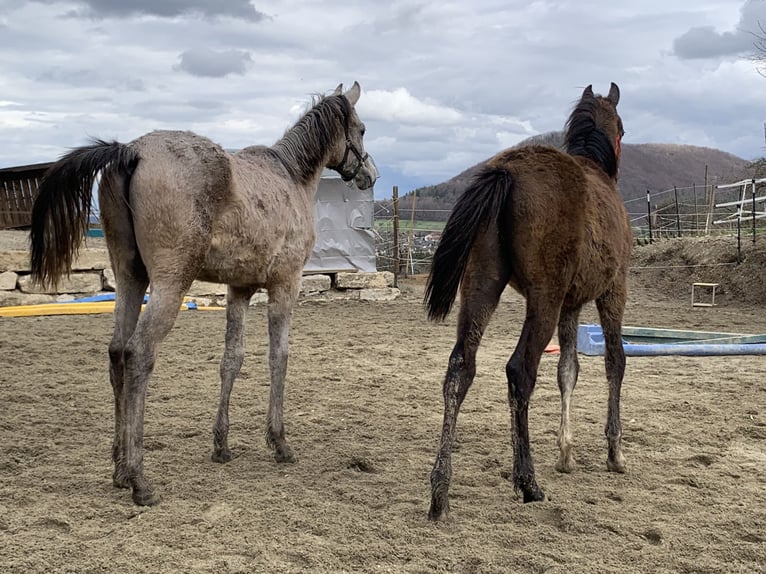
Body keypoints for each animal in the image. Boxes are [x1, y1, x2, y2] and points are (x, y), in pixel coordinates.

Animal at [31, 82, 380, 508]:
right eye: (361, 129)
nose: (370, 175)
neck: (290, 177)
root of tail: (132, 150)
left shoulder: (239, 289)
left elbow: (232, 360)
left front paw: (221, 445)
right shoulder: (286, 285)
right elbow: (278, 358)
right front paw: (279, 442)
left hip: (130, 279)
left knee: (116, 353)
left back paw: (119, 469)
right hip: (170, 283)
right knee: (137, 354)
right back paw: (139, 479)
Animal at [426, 84, 632, 520]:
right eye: (622, 128)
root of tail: (508, 171)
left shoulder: (572, 304)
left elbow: (568, 370)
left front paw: (566, 454)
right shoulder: (613, 291)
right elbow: (615, 362)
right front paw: (614, 453)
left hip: (482, 286)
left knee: (460, 368)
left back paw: (440, 492)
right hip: (543, 300)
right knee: (520, 372)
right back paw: (528, 482)